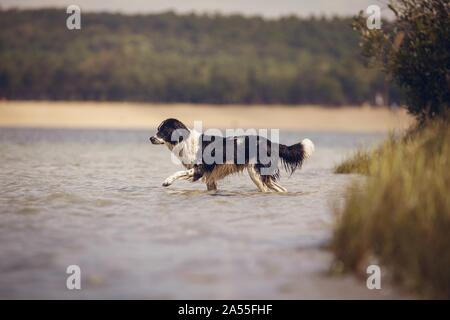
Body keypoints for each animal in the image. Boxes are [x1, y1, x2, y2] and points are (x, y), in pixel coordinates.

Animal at [149, 118, 314, 191]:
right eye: (157, 129)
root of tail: (271, 143)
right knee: (280, 189)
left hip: (254, 172)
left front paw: (167, 181)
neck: (186, 140)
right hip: (263, 175)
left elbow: (178, 173)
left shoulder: (199, 170)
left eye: (163, 130)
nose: (150, 138)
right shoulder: (210, 177)